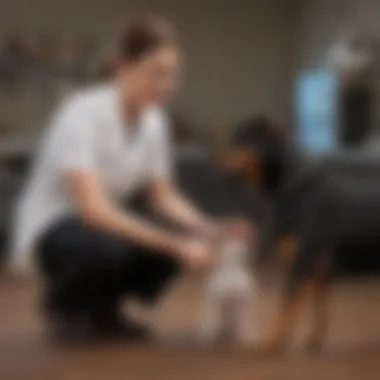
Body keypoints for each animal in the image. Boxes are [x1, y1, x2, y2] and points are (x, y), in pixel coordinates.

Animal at [221, 116, 380, 354]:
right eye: (232, 138)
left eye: (244, 140)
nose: (219, 162)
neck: (288, 185)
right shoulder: (316, 267)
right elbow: (317, 305)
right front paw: (313, 340)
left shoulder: (301, 259)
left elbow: (286, 305)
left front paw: (274, 341)